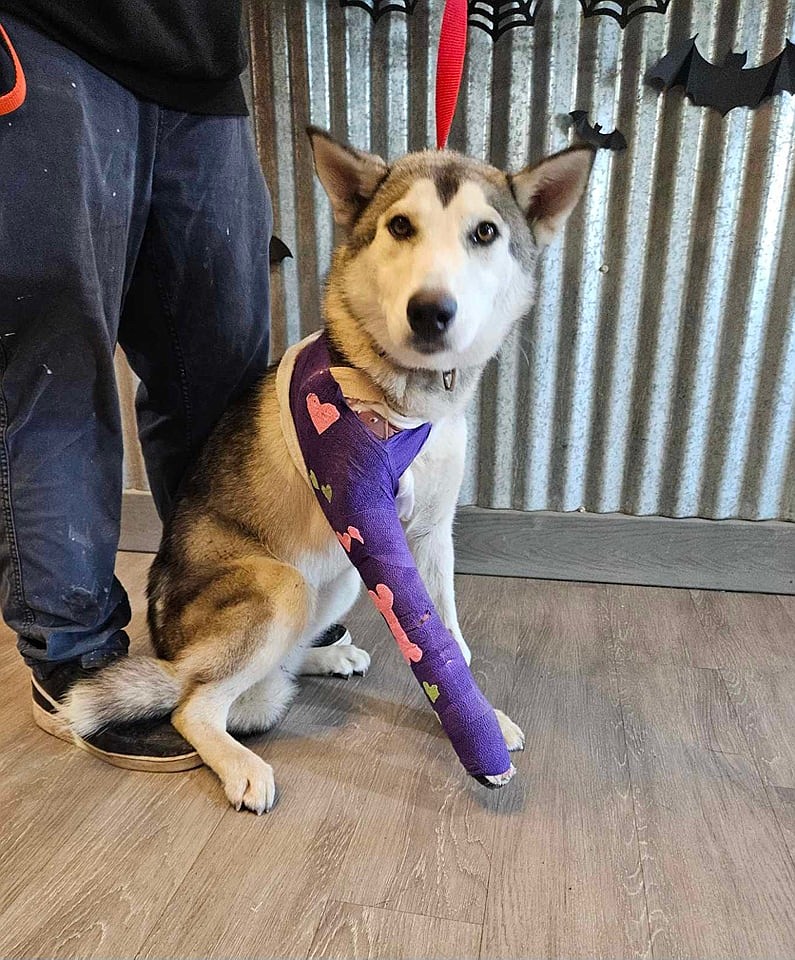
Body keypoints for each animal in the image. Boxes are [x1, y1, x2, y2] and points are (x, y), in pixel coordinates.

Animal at [65, 131, 592, 812]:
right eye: (400, 226)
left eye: (484, 233)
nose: (431, 311)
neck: (402, 398)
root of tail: (171, 655)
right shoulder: (371, 528)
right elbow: (432, 645)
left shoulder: (427, 538)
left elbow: (447, 636)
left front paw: (484, 715)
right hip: (281, 583)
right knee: (195, 705)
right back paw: (239, 764)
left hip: (339, 575)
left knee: (267, 668)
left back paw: (324, 659)